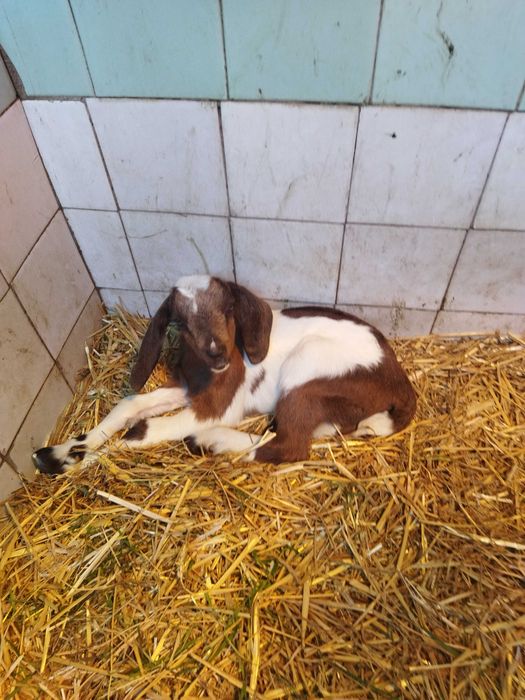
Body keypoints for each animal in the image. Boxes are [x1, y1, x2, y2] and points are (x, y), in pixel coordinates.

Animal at [32, 276, 416, 474]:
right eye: (181, 321)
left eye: (228, 308)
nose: (217, 351)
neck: (206, 372)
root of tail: (399, 380)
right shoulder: (187, 387)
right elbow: (130, 406)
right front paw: (61, 452)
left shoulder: (218, 404)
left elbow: (143, 430)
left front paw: (71, 462)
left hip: (308, 367)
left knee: (291, 445)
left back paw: (211, 441)